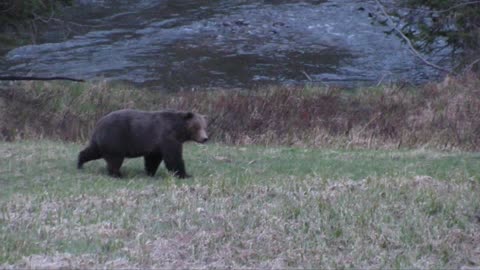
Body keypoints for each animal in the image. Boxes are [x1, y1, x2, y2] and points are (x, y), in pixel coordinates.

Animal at [77, 108, 208, 178]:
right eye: (196, 127)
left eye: (204, 126)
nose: (205, 138)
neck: (178, 130)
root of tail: (98, 124)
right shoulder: (167, 137)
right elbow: (173, 158)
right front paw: (184, 174)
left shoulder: (156, 144)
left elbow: (153, 159)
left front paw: (150, 172)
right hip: (116, 138)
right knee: (115, 159)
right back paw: (118, 174)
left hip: (102, 141)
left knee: (92, 152)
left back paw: (80, 163)